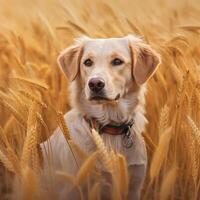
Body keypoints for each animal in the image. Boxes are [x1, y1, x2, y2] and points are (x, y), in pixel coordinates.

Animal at [41, 35, 161, 199]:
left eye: (117, 61)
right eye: (87, 62)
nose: (95, 83)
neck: (109, 127)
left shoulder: (134, 185)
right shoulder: (74, 187)